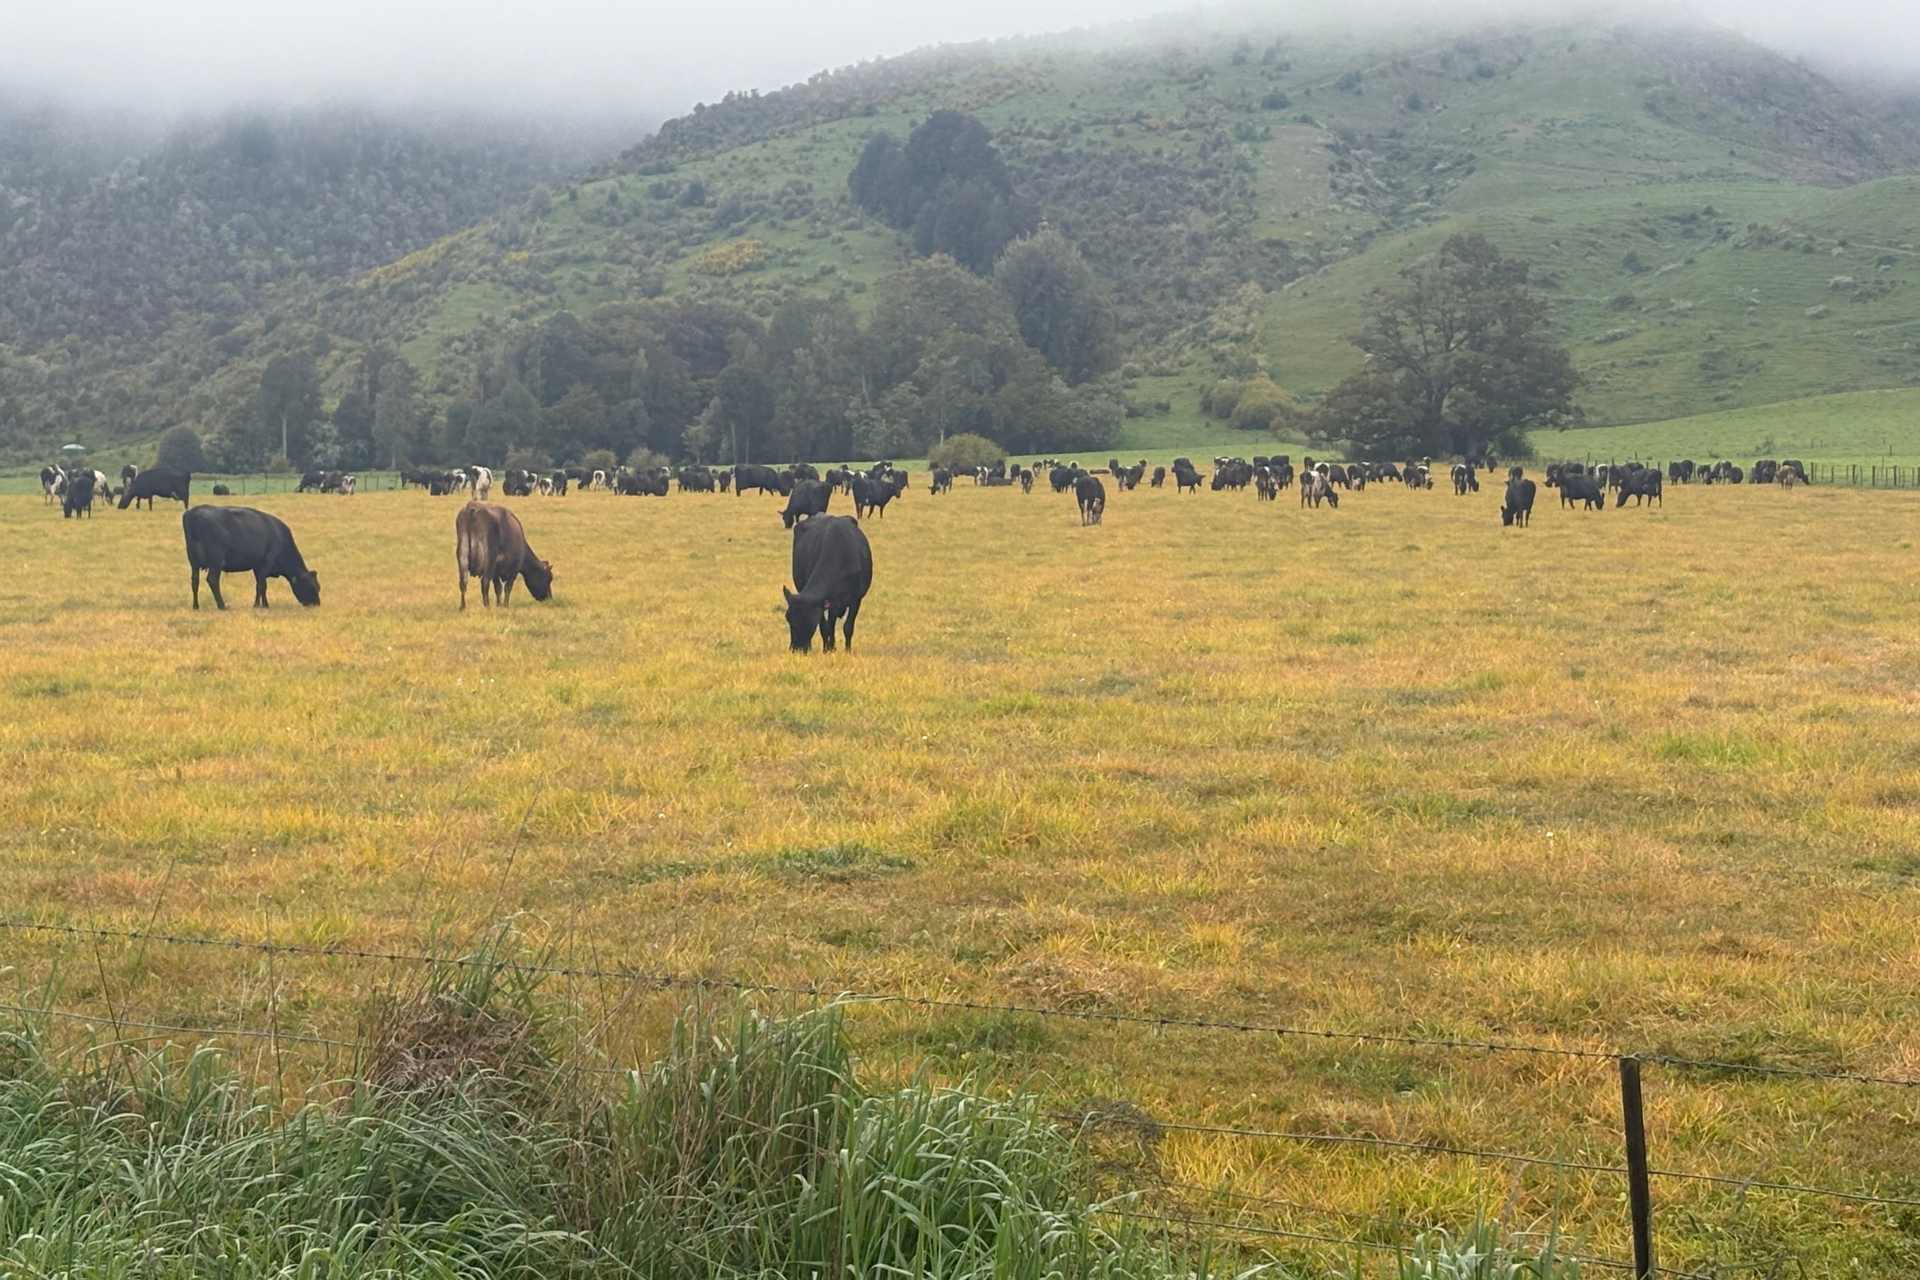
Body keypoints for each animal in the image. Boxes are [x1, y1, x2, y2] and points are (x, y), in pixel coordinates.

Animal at [182, 506, 320, 610]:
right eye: (312, 587)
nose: (317, 604)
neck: (280, 537)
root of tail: (193, 512)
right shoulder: (266, 563)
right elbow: (261, 585)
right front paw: (259, 605)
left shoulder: (257, 566)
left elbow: (260, 585)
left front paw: (263, 604)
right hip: (216, 561)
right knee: (212, 580)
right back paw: (222, 605)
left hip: (193, 562)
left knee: (195, 581)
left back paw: (196, 606)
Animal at [783, 515, 872, 653]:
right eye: (788, 618)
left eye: (808, 619)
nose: (796, 648)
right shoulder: (826, 604)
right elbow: (825, 627)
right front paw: (827, 649)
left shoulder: (856, 599)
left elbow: (848, 627)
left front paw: (847, 650)